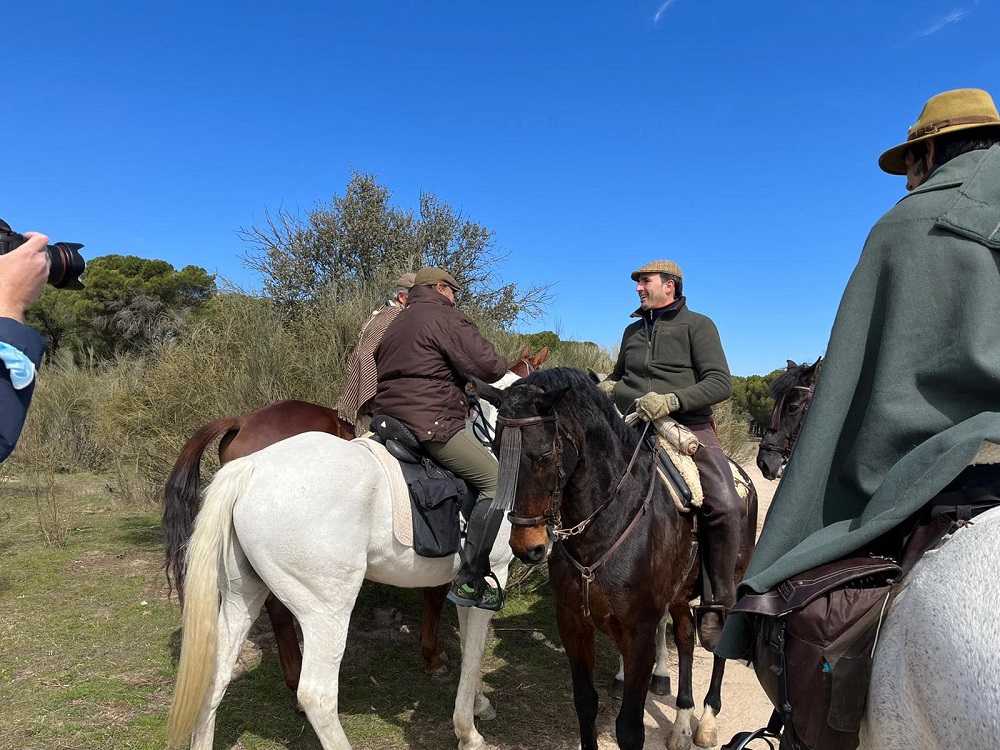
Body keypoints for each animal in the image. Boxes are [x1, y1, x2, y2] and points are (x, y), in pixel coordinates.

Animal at [167, 420, 516, 748]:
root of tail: (251, 467)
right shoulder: (493, 576)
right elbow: (474, 652)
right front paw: (469, 732)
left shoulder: (465, 589)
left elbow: (469, 647)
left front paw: (478, 703)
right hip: (326, 613)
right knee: (316, 695)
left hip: (241, 598)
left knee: (215, 676)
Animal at [476, 368, 752, 750]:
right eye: (498, 450)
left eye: (545, 456)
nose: (526, 547)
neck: (607, 522)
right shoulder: (573, 625)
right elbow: (585, 703)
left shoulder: (639, 635)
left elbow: (630, 729)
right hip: (680, 597)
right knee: (684, 640)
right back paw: (682, 723)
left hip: (728, 587)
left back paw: (707, 722)